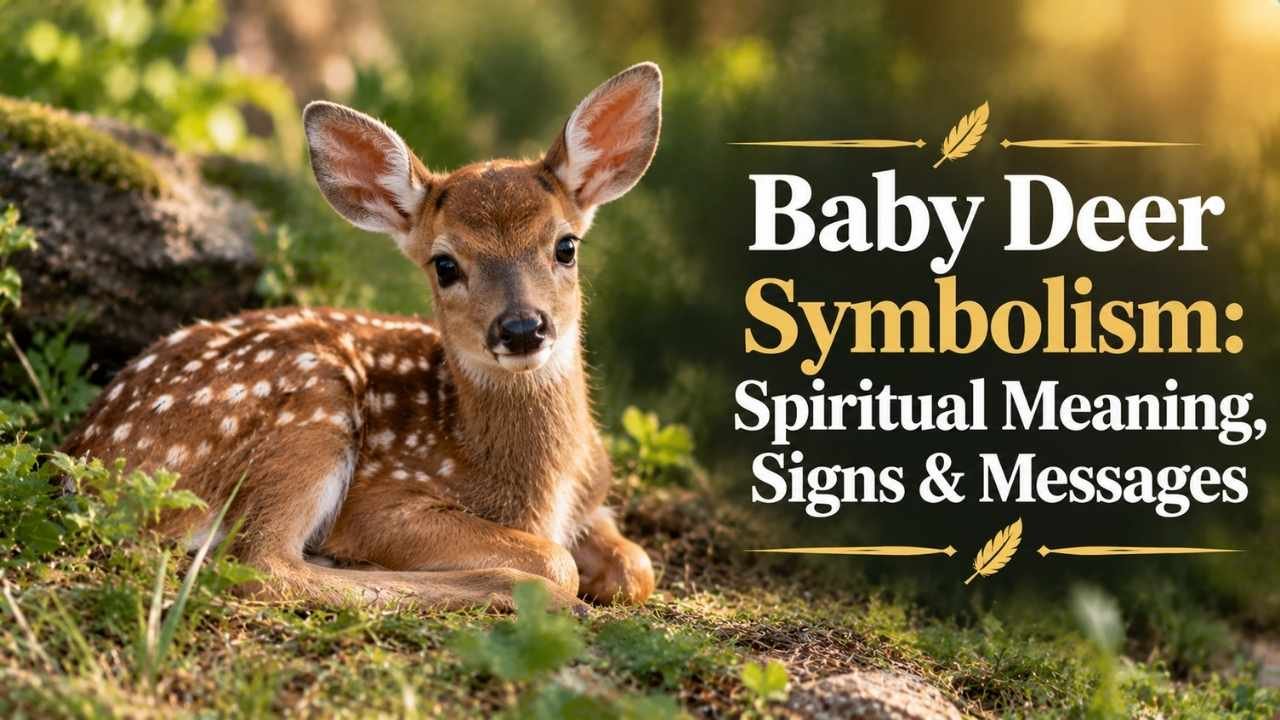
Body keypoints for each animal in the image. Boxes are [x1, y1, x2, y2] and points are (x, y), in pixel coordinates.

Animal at [61, 63, 664, 613]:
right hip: (313, 401)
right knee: (259, 563)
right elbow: (555, 558)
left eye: (566, 246)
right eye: (445, 264)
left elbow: (638, 566)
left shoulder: (596, 496)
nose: (521, 328)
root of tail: (85, 465)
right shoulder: (381, 501)